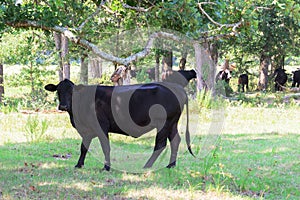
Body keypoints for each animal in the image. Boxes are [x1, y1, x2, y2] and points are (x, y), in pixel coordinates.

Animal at [44, 79, 195, 171]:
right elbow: (83, 148)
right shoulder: (87, 131)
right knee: (175, 141)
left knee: (160, 144)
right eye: (58, 91)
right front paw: (79, 164)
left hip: (164, 123)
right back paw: (171, 165)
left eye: (72, 92)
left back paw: (147, 165)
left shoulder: (101, 127)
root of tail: (177, 88)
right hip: (172, 123)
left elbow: (105, 147)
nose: (63, 106)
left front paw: (106, 167)